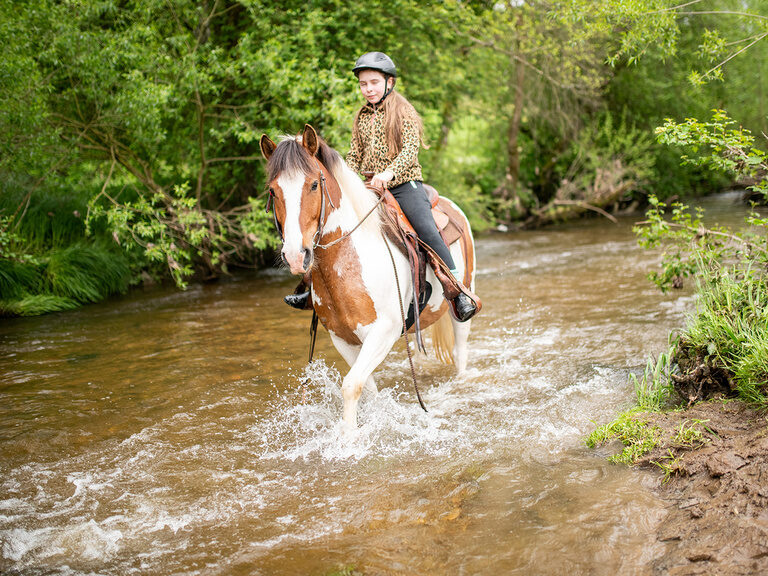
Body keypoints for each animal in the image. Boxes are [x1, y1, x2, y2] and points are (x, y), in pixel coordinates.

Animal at [260, 124, 477, 432]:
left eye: (314, 184)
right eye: (273, 190)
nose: (294, 255)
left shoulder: (383, 332)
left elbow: (351, 386)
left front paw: (349, 438)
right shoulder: (344, 339)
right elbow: (367, 388)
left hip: (463, 302)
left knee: (460, 352)